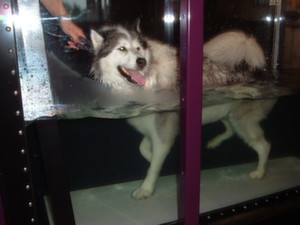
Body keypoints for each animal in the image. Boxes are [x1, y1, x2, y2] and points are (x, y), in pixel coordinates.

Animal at [90, 22, 276, 199]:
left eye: (139, 48)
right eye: (122, 48)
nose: (141, 61)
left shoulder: (163, 137)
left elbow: (153, 166)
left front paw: (146, 189)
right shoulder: (152, 131)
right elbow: (144, 150)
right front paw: (158, 163)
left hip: (242, 123)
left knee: (264, 146)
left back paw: (259, 172)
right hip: (225, 115)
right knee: (229, 129)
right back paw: (214, 142)